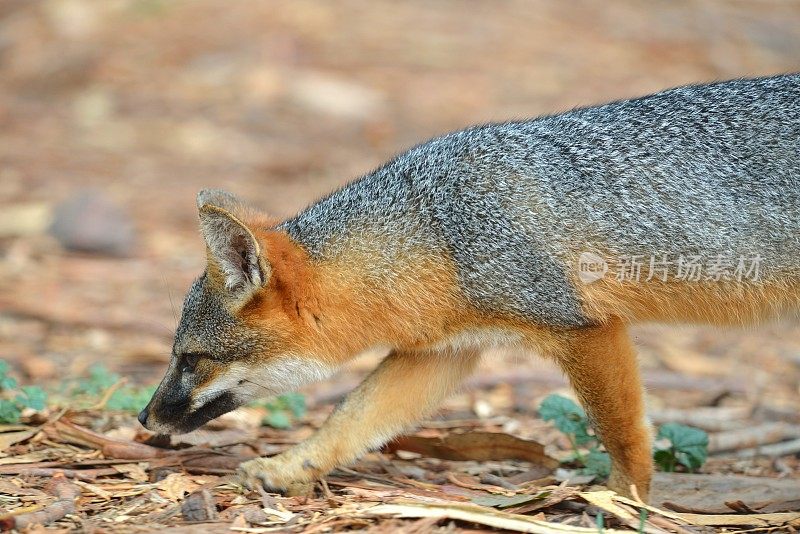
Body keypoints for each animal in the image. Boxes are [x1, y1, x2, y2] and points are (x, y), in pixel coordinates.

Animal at [141, 73, 800, 500]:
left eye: (192, 359)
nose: (145, 420)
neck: (434, 229)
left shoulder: (584, 328)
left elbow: (622, 430)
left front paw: (623, 499)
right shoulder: (445, 352)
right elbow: (353, 418)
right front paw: (289, 468)